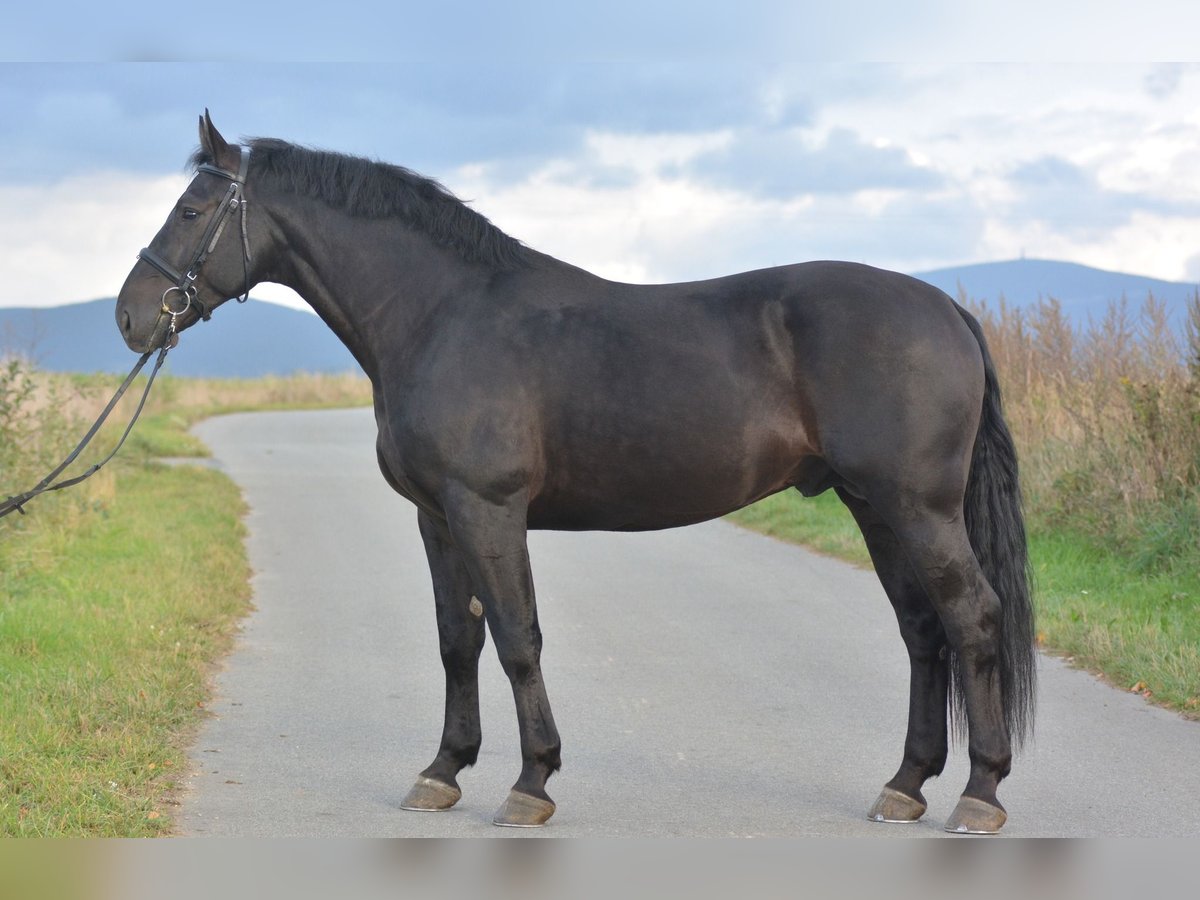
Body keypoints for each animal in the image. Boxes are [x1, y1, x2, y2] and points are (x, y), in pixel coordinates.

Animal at [119, 116, 1032, 835]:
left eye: (192, 210)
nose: (131, 317)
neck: (440, 316)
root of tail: (947, 310)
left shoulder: (488, 510)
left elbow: (517, 638)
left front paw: (531, 783)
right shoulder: (437, 517)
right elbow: (457, 641)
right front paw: (442, 771)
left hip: (919, 509)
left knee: (972, 619)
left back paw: (980, 794)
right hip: (875, 507)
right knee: (922, 630)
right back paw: (905, 786)